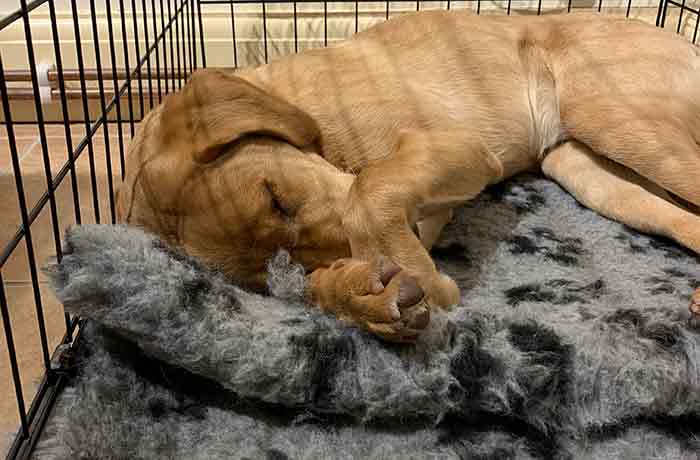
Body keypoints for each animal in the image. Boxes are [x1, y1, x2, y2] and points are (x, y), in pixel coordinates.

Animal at [115, 9, 700, 342]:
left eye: (276, 196)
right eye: (281, 267)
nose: (413, 239)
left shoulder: (457, 146)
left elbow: (370, 190)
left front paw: (420, 284)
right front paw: (359, 294)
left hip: (615, 117)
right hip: (588, 169)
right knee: (680, 219)